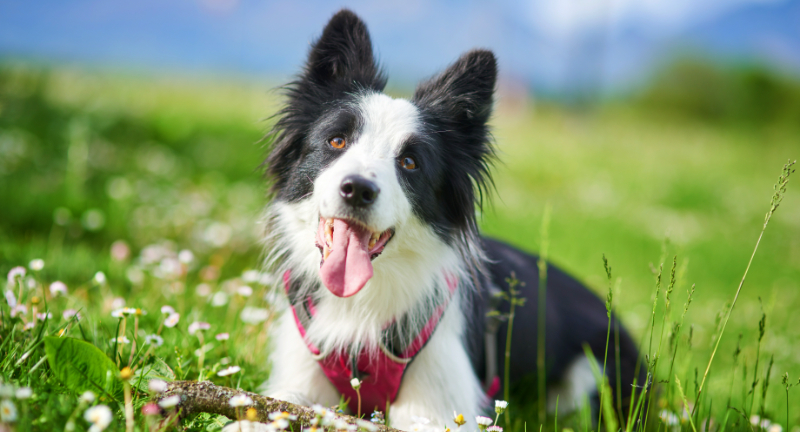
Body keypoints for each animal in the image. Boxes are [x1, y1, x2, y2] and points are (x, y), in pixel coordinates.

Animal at [262, 10, 644, 428]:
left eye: (409, 162)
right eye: (336, 141)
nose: (358, 189)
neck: (363, 300)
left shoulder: (439, 409)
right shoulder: (295, 383)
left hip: (593, 376)